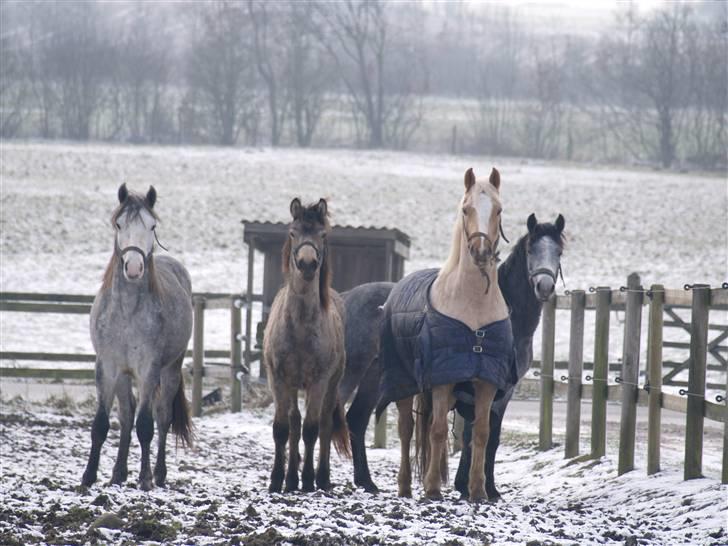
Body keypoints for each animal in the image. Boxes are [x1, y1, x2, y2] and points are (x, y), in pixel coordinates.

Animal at [82, 184, 193, 488]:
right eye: (119, 224)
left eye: (152, 225)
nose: (133, 268)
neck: (127, 312)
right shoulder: (107, 367)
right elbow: (102, 424)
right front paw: (88, 477)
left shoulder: (148, 369)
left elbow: (146, 425)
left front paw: (145, 480)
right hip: (123, 375)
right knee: (126, 414)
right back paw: (118, 474)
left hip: (170, 370)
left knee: (162, 416)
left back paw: (159, 474)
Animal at [264, 197, 352, 492]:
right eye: (293, 233)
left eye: (322, 235)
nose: (307, 264)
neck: (300, 325)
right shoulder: (278, 379)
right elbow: (282, 429)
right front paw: (278, 480)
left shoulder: (319, 382)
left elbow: (312, 430)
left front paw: (309, 481)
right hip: (293, 386)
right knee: (294, 423)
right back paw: (291, 477)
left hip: (331, 386)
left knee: (323, 425)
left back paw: (321, 478)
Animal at [338, 212, 564, 498]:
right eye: (530, 250)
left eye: (559, 251)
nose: (545, 286)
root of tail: (346, 298)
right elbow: (479, 434)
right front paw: (477, 487)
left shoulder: (499, 387)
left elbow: (483, 434)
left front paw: (476, 487)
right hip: (351, 373)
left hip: (373, 379)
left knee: (355, 420)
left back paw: (366, 482)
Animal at [376, 167, 512, 502]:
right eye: (466, 209)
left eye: (499, 210)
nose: (480, 252)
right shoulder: (441, 379)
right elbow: (436, 430)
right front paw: (433, 489)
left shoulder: (486, 382)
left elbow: (480, 433)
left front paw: (477, 491)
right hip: (405, 382)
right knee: (409, 428)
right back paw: (407, 485)